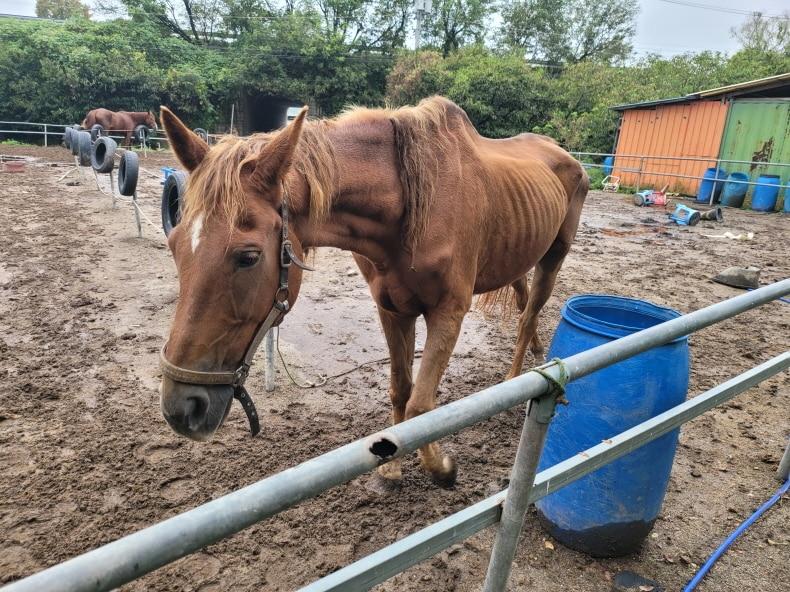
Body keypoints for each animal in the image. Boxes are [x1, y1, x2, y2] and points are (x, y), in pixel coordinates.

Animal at [158, 96, 588, 486]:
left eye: (247, 257)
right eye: (175, 246)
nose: (181, 407)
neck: (412, 208)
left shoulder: (449, 312)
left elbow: (421, 405)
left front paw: (441, 468)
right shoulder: (393, 309)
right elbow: (400, 391)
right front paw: (393, 466)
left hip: (553, 258)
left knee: (528, 314)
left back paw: (515, 379)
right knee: (524, 304)